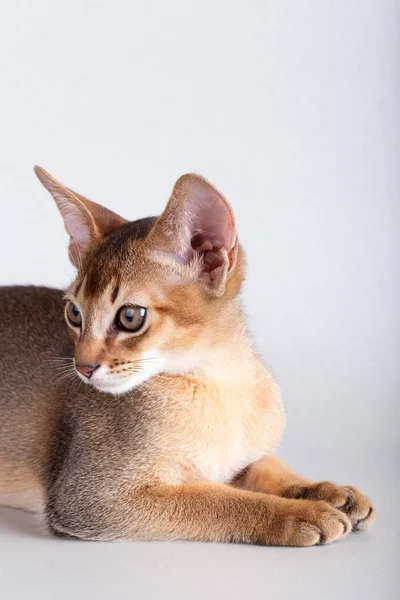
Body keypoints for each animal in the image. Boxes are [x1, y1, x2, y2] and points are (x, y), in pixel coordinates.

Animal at [0, 168, 376, 544]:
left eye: (130, 316)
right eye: (74, 313)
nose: (83, 367)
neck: (223, 384)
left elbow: (265, 464)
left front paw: (327, 490)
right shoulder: (89, 498)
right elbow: (215, 498)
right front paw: (299, 513)